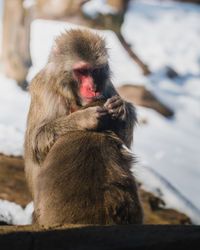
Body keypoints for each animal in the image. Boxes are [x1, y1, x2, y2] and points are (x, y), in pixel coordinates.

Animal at [24, 28, 144, 225]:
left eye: (95, 70)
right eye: (81, 71)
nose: (93, 88)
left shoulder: (106, 86)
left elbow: (125, 136)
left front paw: (121, 109)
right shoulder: (44, 90)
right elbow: (36, 142)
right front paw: (84, 118)